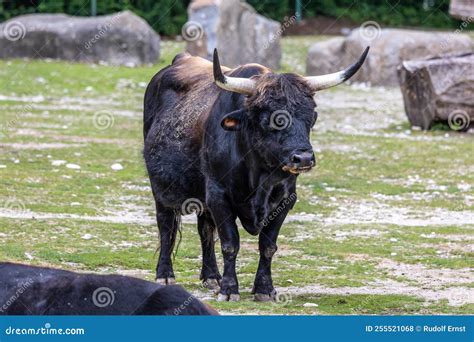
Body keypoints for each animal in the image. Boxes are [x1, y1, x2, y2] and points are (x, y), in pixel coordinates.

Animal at [143, 47, 368, 302]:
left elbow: (268, 246)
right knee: (166, 227)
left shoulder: (285, 199)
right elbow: (230, 243)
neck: (260, 174)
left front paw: (264, 289)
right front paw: (229, 289)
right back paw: (165, 274)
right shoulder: (219, 195)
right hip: (160, 188)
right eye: (272, 119)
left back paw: (211, 276)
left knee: (205, 229)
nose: (303, 159)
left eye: (310, 116)